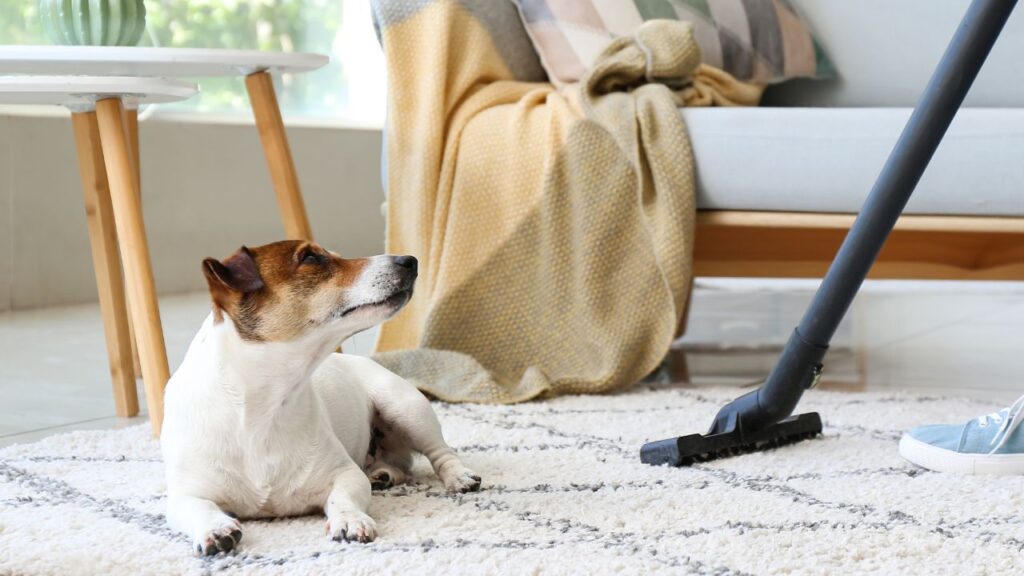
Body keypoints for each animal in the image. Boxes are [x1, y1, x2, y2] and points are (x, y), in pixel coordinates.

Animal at [159, 238, 479, 553]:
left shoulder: (345, 474)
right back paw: (382, 474)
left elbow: (343, 497)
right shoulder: (185, 493)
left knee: (440, 452)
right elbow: (197, 508)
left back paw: (457, 476)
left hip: (406, 407)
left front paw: (349, 519)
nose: (410, 260)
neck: (264, 406)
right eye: (311, 258)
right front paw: (215, 528)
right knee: (401, 465)